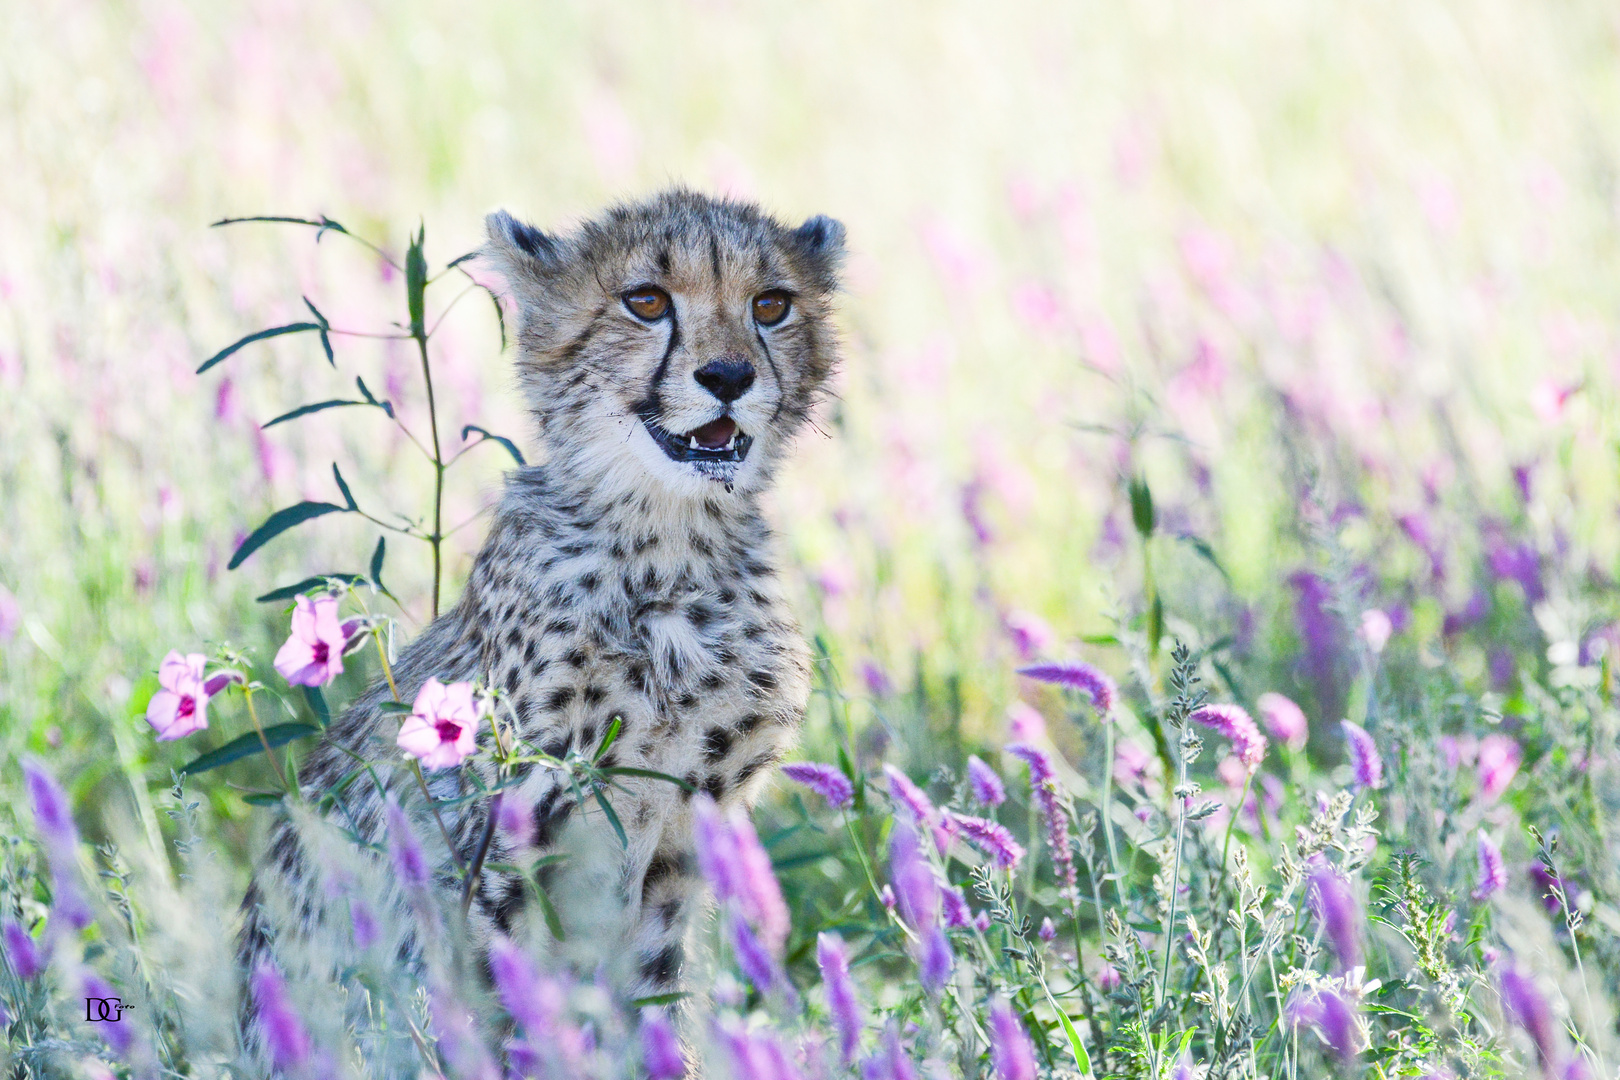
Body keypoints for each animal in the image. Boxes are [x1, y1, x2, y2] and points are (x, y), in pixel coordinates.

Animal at [241, 191, 848, 1016]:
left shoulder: (679, 852)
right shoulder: (503, 834)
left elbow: (650, 1012)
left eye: (772, 303)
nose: (728, 375)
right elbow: (498, 1002)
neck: (668, 547)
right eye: (646, 301)